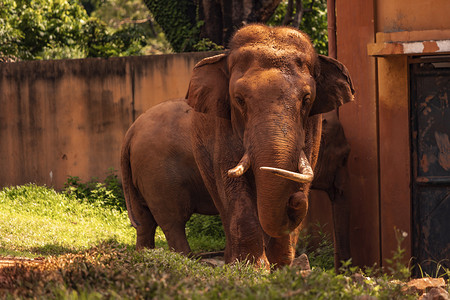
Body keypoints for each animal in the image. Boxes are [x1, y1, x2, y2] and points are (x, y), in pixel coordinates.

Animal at [120, 23, 356, 268]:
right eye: (239, 99)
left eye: (307, 99)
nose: (295, 200)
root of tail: (129, 133)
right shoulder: (222, 124)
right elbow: (232, 182)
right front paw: (254, 268)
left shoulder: (312, 126)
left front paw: (281, 267)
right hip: (158, 174)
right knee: (173, 220)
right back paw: (186, 260)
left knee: (145, 221)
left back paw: (147, 255)